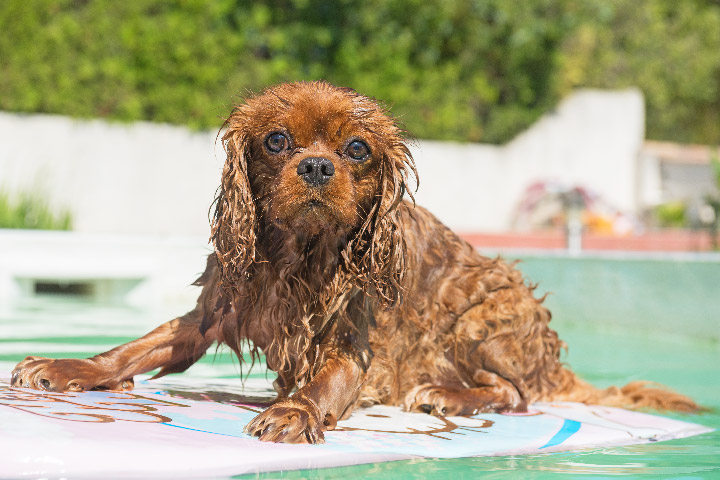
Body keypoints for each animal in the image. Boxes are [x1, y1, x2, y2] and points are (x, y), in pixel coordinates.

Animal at [11, 81, 696, 442]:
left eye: (358, 149)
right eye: (277, 140)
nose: (317, 166)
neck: (299, 256)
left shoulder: (355, 342)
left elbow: (326, 382)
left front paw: (294, 410)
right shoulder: (214, 311)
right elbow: (134, 349)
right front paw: (68, 366)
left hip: (487, 309)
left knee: (517, 393)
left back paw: (447, 394)